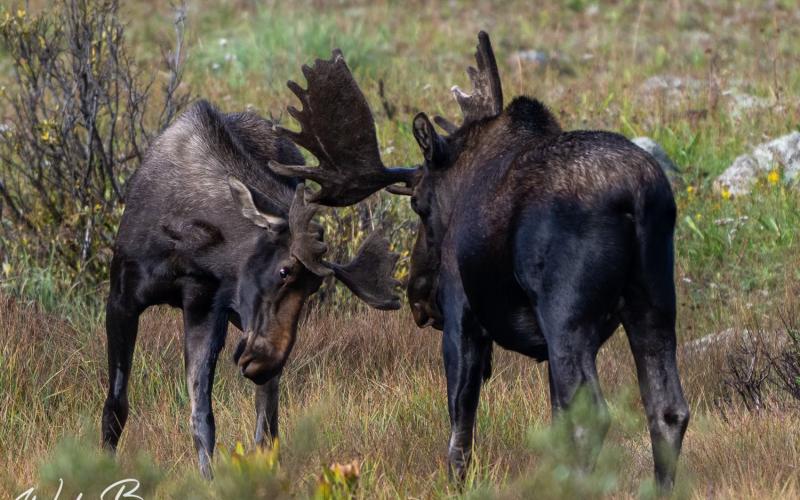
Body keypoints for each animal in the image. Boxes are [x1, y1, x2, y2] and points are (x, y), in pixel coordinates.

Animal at [102, 100, 401, 478]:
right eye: (284, 270)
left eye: (315, 287)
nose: (264, 360)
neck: (187, 245)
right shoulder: (122, 299)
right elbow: (116, 406)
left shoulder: (204, 307)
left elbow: (203, 417)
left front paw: (209, 481)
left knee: (268, 414)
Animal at [269, 32, 690, 492]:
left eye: (418, 205)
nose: (419, 296)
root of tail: (637, 194)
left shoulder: (463, 316)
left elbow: (460, 425)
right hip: (653, 304)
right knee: (667, 409)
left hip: (567, 317)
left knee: (593, 416)